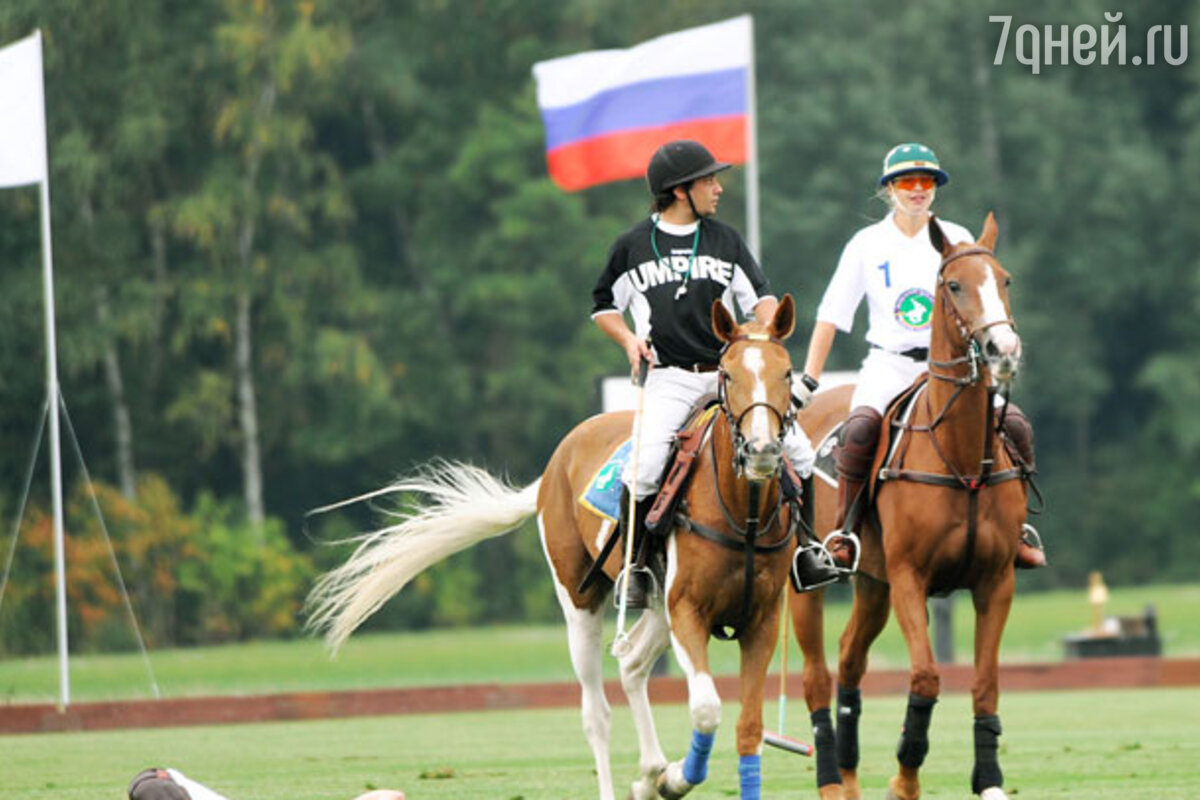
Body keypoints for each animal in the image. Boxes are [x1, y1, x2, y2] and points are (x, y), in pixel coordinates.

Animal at [307, 296, 806, 800]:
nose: (762, 450)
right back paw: (635, 778)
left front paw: (663, 776)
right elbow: (706, 708)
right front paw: (675, 777)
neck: (743, 513)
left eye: (787, 373)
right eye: (728, 373)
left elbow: (749, 726)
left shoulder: (761, 619)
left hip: (655, 606)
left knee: (631, 663)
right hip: (580, 599)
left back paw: (649, 774)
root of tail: (550, 470)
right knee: (596, 712)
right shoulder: (688, 610)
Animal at [792, 214, 1027, 800]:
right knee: (817, 674)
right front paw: (905, 775)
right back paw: (830, 779)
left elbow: (985, 685)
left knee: (851, 657)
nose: (1003, 348)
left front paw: (989, 780)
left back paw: (849, 774)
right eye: (955, 285)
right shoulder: (909, 577)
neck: (962, 458)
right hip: (805, 576)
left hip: (872, 582)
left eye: (1005, 280)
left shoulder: (996, 580)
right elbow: (925, 675)